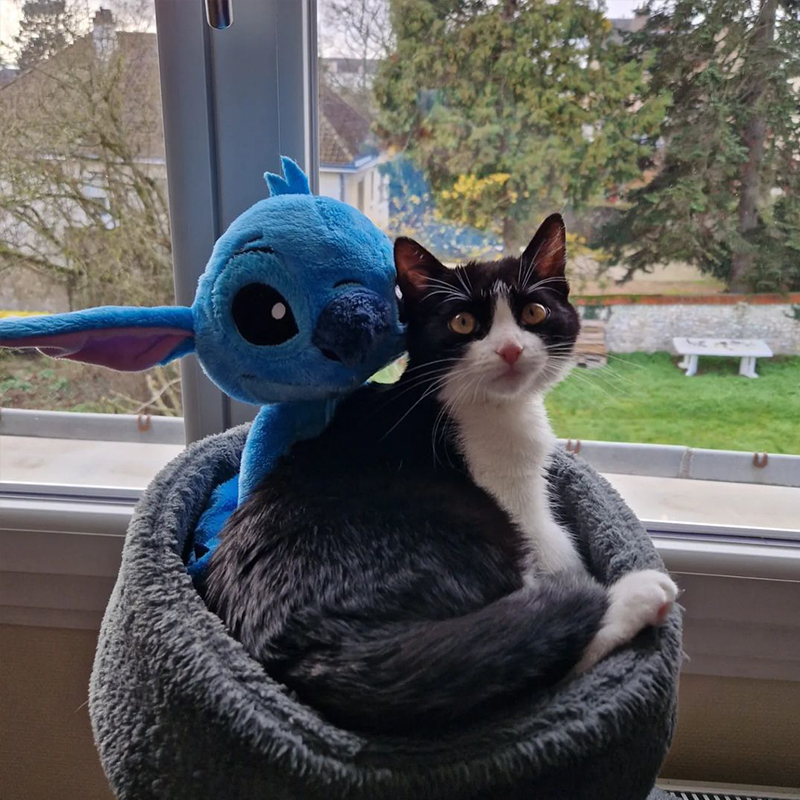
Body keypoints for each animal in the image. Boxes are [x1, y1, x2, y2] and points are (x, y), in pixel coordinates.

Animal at [206, 212, 676, 732]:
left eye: (534, 312)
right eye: (463, 321)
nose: (510, 350)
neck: (487, 408)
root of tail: (310, 647)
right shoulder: (517, 500)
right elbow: (557, 548)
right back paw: (635, 595)